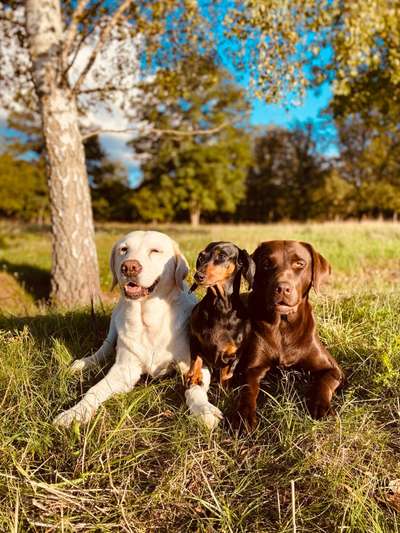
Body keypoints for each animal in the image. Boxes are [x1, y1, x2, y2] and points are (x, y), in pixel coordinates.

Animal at [53, 231, 222, 430]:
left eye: (155, 251)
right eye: (124, 249)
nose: (129, 267)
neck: (149, 319)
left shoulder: (194, 364)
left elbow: (195, 388)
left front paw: (204, 410)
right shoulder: (125, 369)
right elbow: (95, 389)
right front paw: (75, 412)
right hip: (115, 320)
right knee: (105, 347)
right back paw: (84, 362)